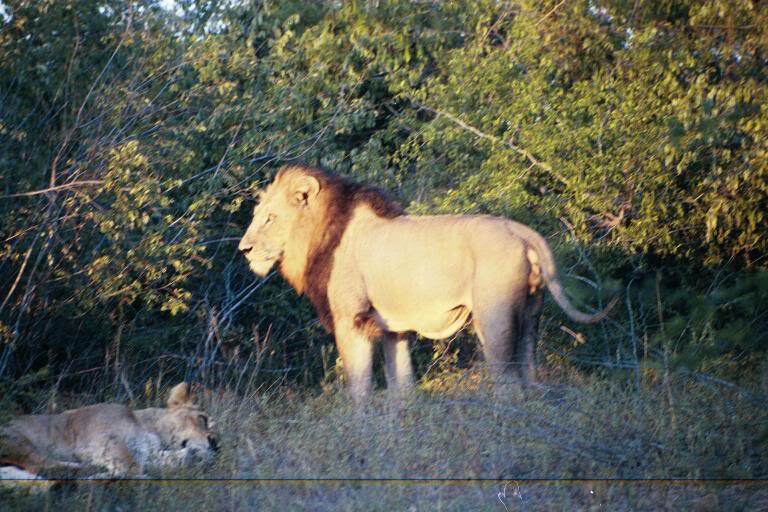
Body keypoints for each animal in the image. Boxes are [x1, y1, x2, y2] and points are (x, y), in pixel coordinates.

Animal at [0, 382, 217, 482]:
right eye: (203, 418)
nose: (215, 444)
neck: (150, 430)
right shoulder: (106, 440)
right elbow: (133, 467)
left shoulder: (148, 453)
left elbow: (167, 460)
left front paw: (194, 456)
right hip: (17, 439)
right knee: (40, 464)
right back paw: (89, 469)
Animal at [238, 165, 616, 410]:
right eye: (258, 216)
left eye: (270, 218)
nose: (244, 249)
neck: (318, 236)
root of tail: (520, 230)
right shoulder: (393, 329)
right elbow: (401, 387)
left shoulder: (351, 321)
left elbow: (359, 390)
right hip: (530, 316)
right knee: (530, 376)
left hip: (494, 317)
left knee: (508, 384)